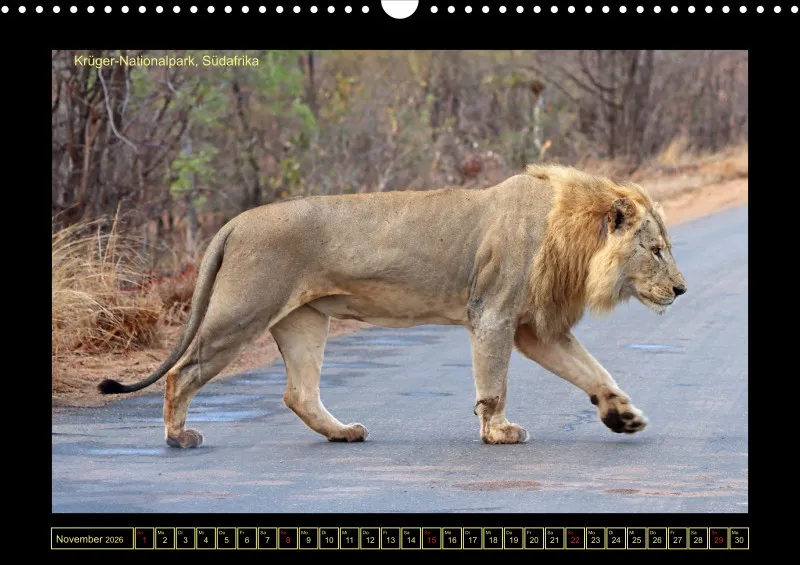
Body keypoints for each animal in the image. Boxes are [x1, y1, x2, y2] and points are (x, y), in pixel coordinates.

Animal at [98, 164, 687, 448]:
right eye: (656, 250)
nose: (682, 290)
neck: (575, 239)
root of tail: (237, 221)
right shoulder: (493, 313)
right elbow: (494, 385)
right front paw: (497, 433)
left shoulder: (533, 328)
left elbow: (594, 372)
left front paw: (622, 417)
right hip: (241, 311)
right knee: (184, 373)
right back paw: (177, 438)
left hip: (304, 322)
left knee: (298, 393)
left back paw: (344, 433)